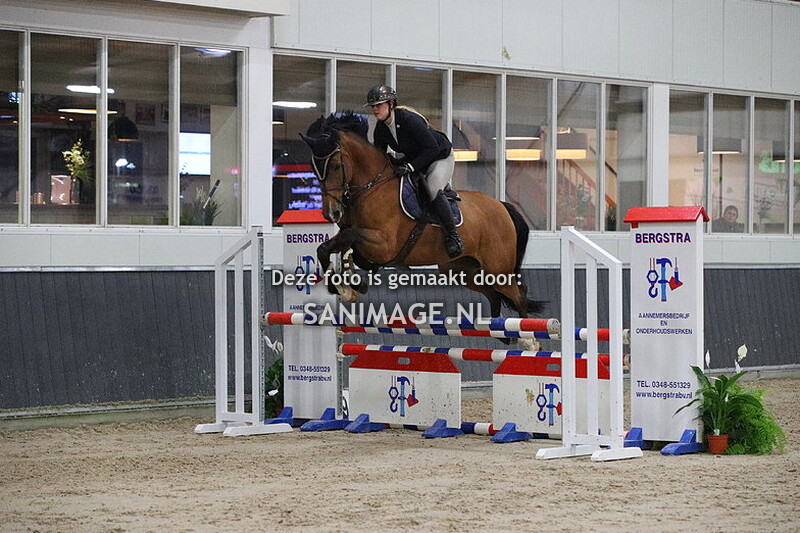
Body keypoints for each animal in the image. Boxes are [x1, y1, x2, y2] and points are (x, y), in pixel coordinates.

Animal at [300, 111, 545, 324]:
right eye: (313, 167)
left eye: (336, 165)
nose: (331, 213)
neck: (372, 186)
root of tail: (502, 206)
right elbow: (327, 248)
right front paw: (345, 286)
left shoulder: (384, 245)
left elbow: (349, 236)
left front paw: (350, 285)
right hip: (462, 270)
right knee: (494, 294)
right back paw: (503, 332)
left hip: (497, 268)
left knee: (518, 294)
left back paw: (528, 341)